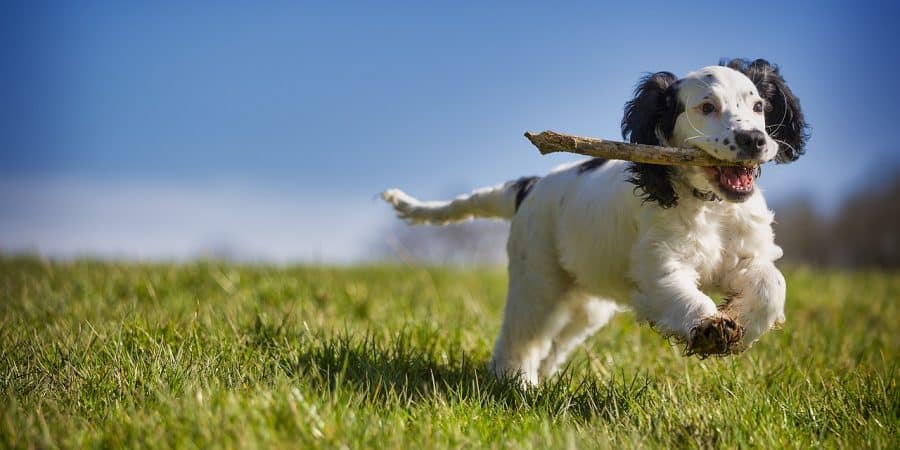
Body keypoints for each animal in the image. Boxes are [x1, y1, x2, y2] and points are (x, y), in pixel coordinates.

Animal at [380, 58, 808, 384]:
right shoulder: (658, 265)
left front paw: (740, 323)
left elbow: (773, 285)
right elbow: (682, 293)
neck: (710, 206)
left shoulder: (746, 255)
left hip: (586, 304)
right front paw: (709, 328)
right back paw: (516, 383)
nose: (755, 140)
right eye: (706, 108)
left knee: (555, 342)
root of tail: (530, 186)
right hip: (538, 280)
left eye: (758, 107)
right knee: (521, 336)